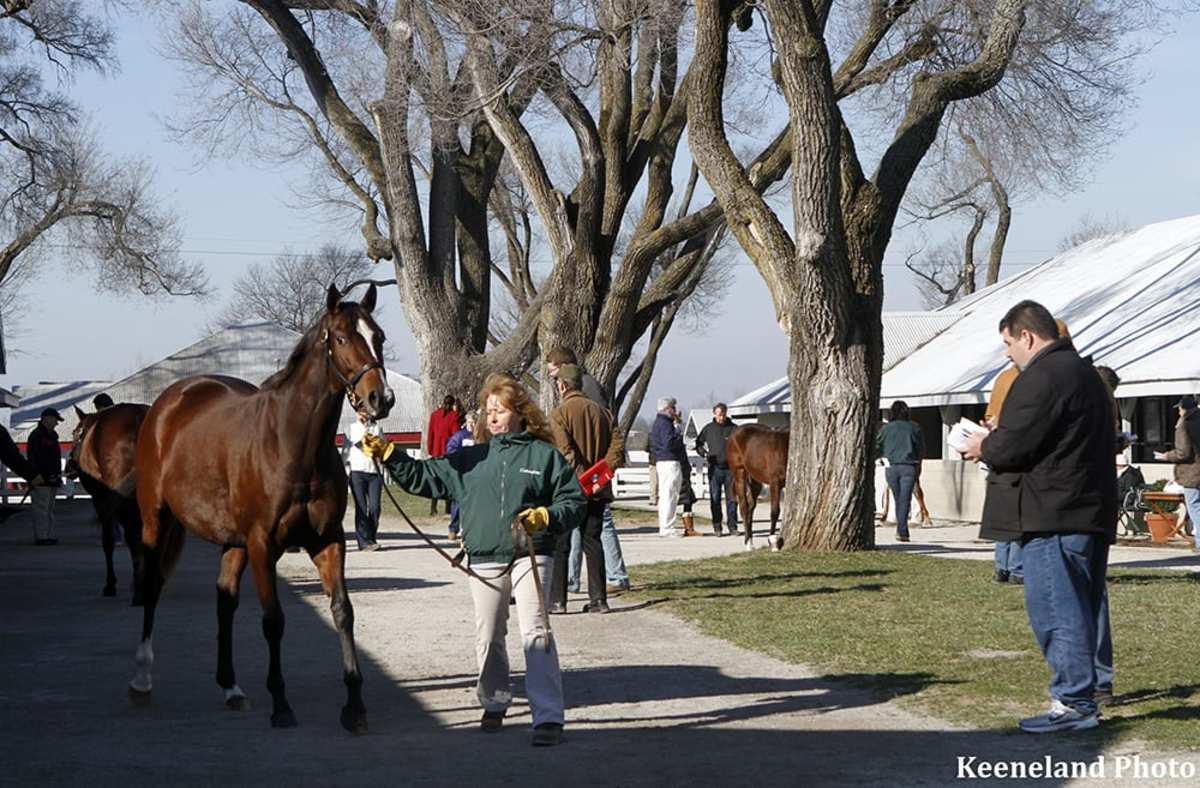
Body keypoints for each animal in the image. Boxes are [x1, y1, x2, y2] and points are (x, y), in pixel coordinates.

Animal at [63, 402, 150, 599]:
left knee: (132, 536)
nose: (69, 466)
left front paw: (110, 584)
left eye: (75, 433)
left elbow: (108, 541)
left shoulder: (101, 501)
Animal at [130, 283, 393, 729]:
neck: (293, 443)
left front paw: (354, 706)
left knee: (225, 601)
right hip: (157, 521)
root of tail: (168, 404)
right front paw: (282, 704)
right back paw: (142, 680)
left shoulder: (328, 541)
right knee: (152, 587)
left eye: (380, 337)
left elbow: (343, 611)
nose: (381, 398)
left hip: (232, 541)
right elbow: (274, 621)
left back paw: (231, 688)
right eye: (342, 338)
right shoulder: (261, 544)